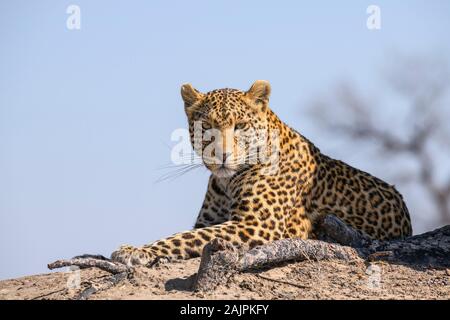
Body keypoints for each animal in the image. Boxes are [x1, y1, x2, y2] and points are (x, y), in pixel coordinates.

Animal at [110, 80, 414, 268]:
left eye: (241, 125)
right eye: (207, 126)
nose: (222, 155)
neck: (227, 182)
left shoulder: (256, 224)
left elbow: (182, 237)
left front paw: (134, 250)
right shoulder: (209, 221)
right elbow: (189, 234)